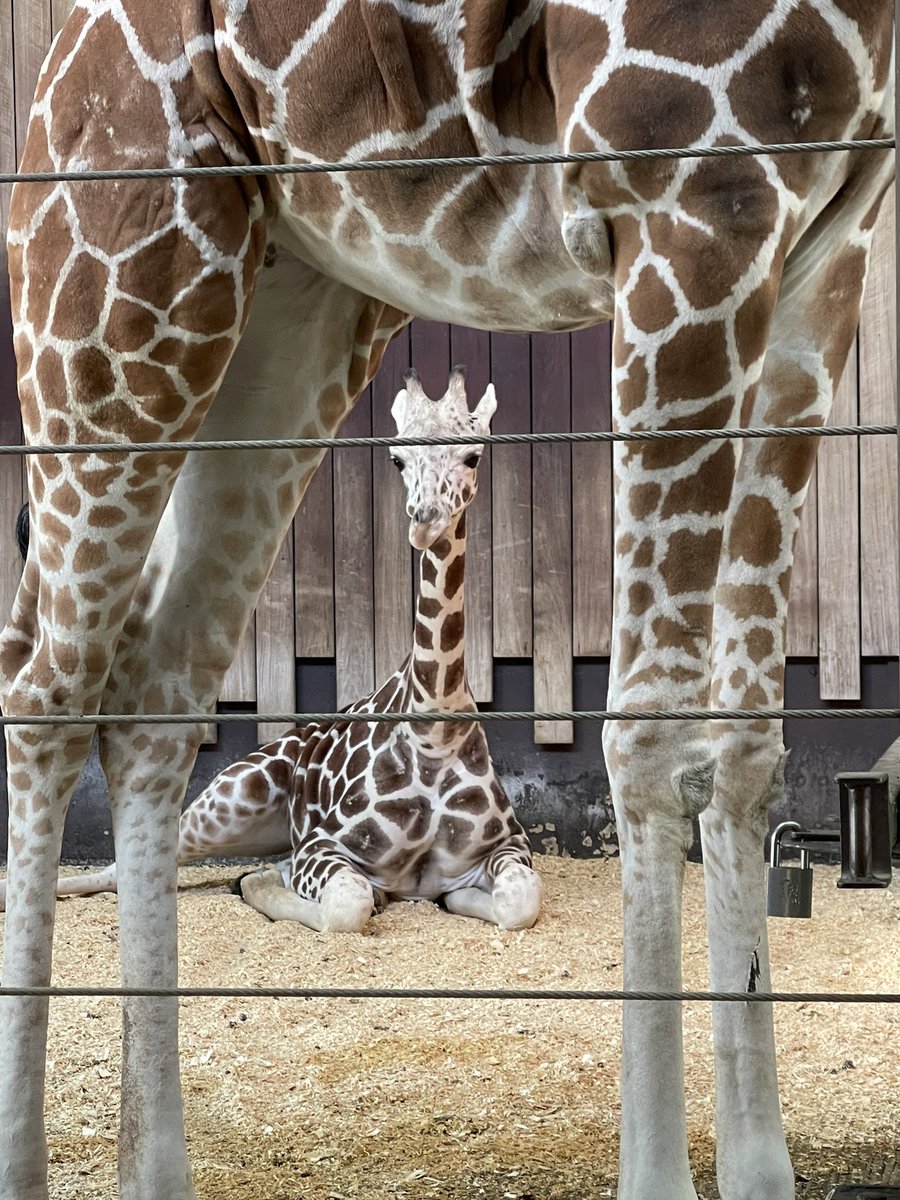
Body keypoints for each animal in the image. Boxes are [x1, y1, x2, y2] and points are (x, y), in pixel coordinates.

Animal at [28, 369, 547, 931]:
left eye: (473, 456)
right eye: (397, 458)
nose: (424, 522)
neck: (435, 729)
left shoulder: (510, 844)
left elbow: (518, 903)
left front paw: (455, 898)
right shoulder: (324, 846)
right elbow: (348, 907)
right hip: (234, 798)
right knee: (126, 868)